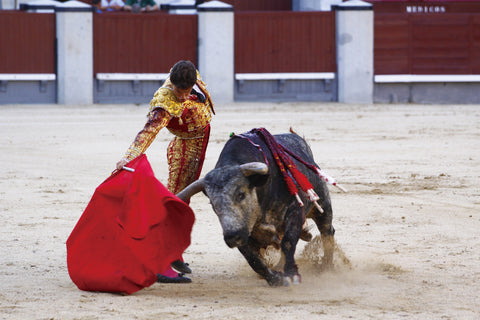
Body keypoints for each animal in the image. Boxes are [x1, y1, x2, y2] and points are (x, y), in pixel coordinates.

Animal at [177, 130, 338, 288]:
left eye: (241, 194)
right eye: (212, 203)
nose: (232, 237)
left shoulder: (296, 210)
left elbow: (288, 242)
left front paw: (292, 274)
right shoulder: (244, 232)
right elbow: (253, 259)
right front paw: (276, 279)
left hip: (323, 204)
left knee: (327, 231)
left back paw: (326, 267)